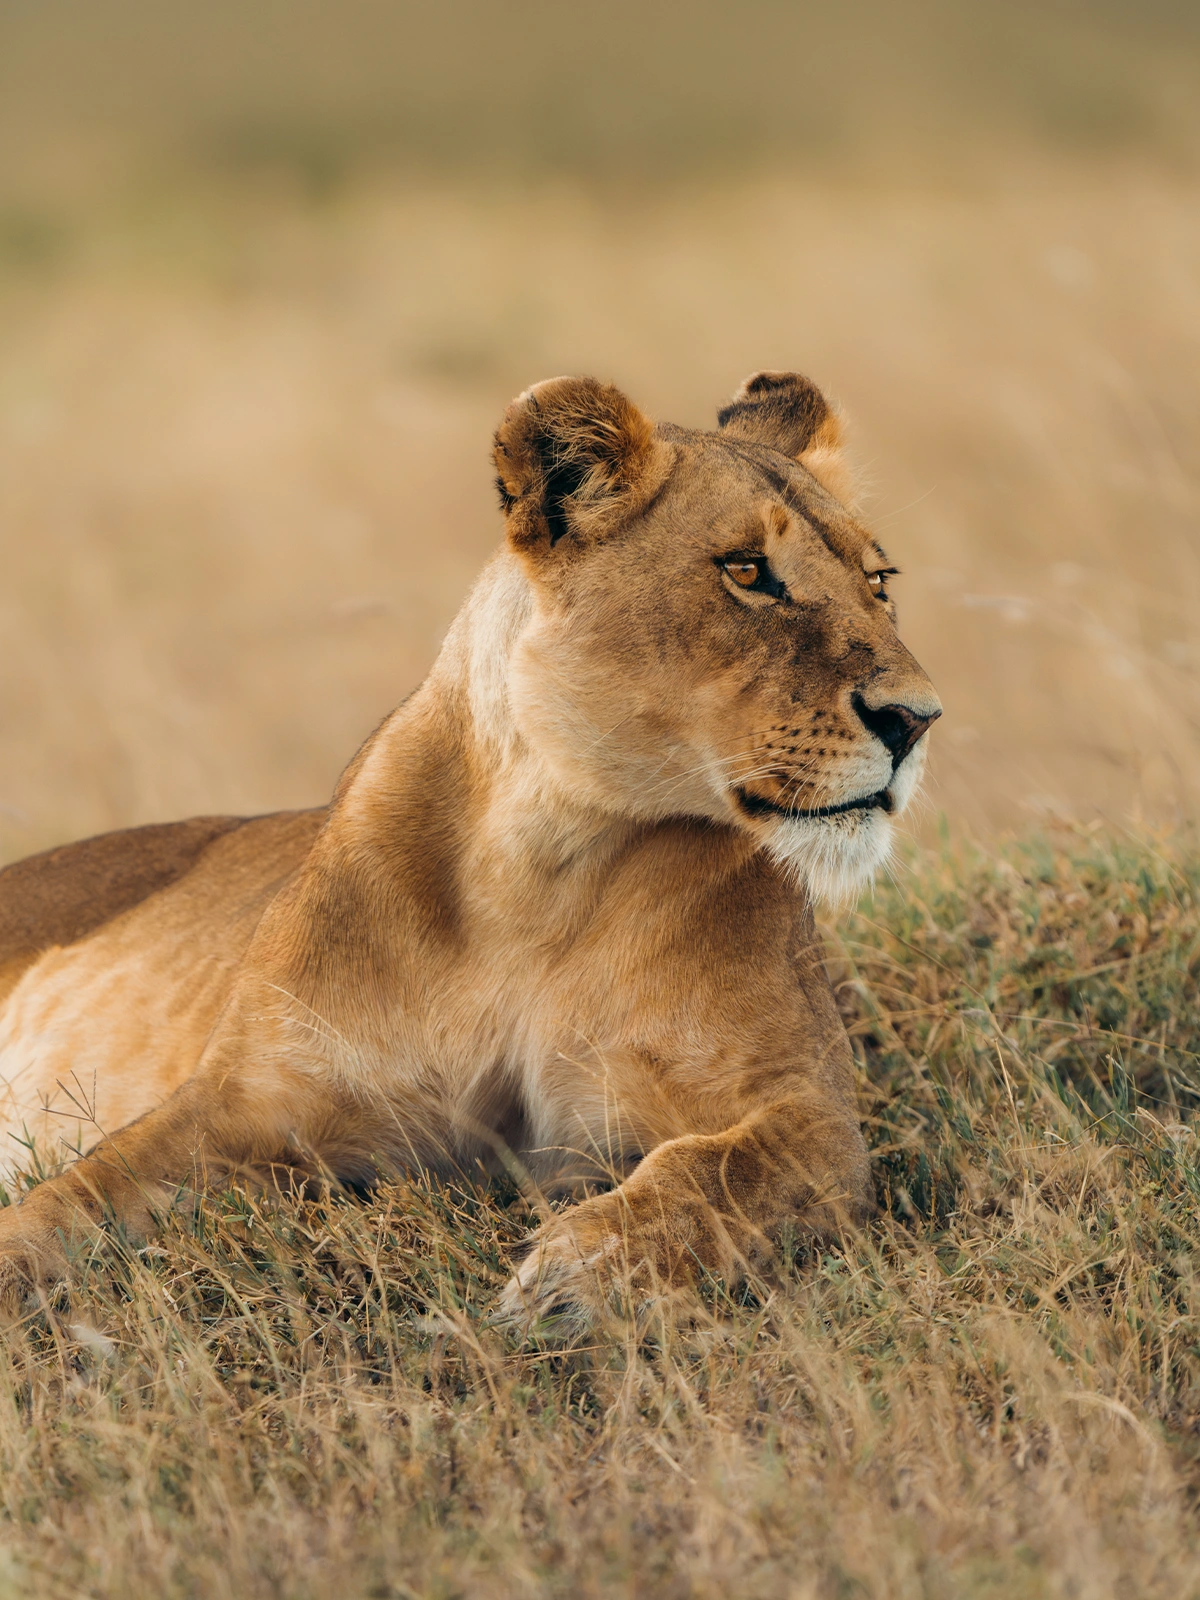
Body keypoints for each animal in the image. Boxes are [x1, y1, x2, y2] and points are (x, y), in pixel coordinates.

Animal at [0, 370, 940, 1327]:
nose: (916, 719)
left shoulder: (810, 1113)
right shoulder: (246, 1104)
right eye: (747, 571)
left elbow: (713, 1172)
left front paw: (575, 1275)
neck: (542, 862)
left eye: (878, 580)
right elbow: (70, 1197)